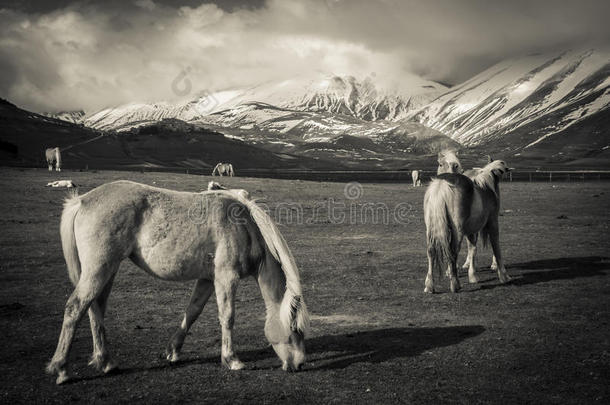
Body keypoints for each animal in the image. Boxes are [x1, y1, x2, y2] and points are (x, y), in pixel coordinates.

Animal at [46, 181, 308, 384]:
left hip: (107, 271)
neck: (244, 228)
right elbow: (227, 316)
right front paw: (231, 359)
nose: (300, 364)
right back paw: (61, 368)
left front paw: (172, 351)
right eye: (295, 329)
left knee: (96, 307)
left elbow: (192, 312)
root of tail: (81, 201)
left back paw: (106, 362)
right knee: (76, 307)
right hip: (99, 269)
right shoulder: (226, 277)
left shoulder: (207, 279)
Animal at [420, 159, 510, 292]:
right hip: (457, 231)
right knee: (452, 252)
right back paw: (455, 284)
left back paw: (430, 286)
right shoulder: (492, 222)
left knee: (431, 252)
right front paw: (503, 276)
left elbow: (472, 248)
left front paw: (472, 275)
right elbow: (496, 247)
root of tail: (441, 184)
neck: (486, 187)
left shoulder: (471, 231)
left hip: (431, 230)